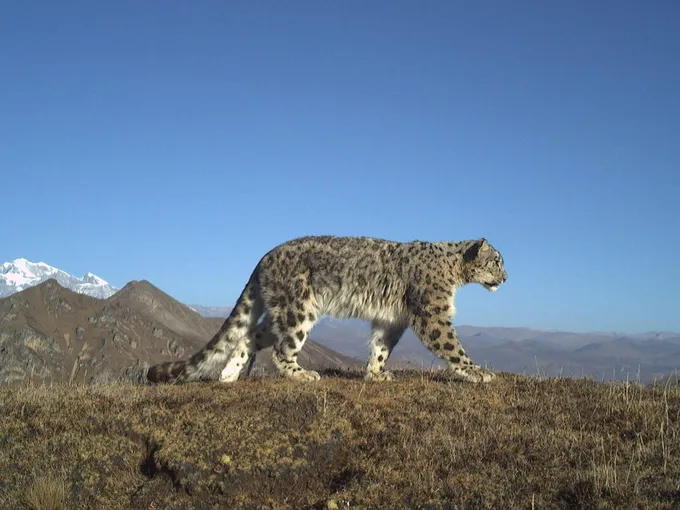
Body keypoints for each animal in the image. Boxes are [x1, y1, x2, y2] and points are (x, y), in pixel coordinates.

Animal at [146, 235, 508, 384]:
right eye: (497, 261)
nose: (506, 277)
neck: (454, 273)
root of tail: (263, 258)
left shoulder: (391, 320)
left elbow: (381, 346)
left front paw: (376, 373)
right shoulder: (433, 313)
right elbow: (451, 345)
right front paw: (478, 372)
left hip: (282, 311)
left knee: (251, 334)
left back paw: (229, 376)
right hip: (298, 310)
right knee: (281, 349)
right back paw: (302, 374)